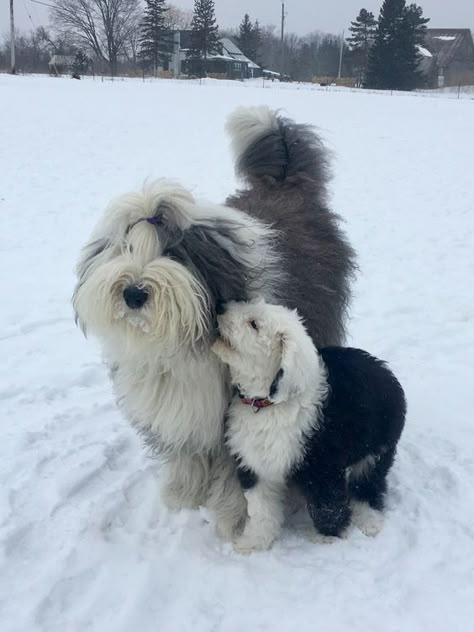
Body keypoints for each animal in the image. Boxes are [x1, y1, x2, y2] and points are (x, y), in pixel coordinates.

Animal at [72, 105, 356, 540]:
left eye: (174, 253)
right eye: (125, 248)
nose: (134, 293)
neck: (177, 344)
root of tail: (285, 183)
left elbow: (233, 469)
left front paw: (231, 516)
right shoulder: (182, 406)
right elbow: (187, 454)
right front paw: (184, 496)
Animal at [212, 302, 408, 552]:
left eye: (254, 324)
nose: (220, 306)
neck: (269, 403)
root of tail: (384, 369)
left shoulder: (322, 466)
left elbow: (327, 504)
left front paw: (328, 538)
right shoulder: (257, 464)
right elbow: (261, 509)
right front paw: (253, 542)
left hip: (377, 448)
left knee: (368, 485)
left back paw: (369, 522)